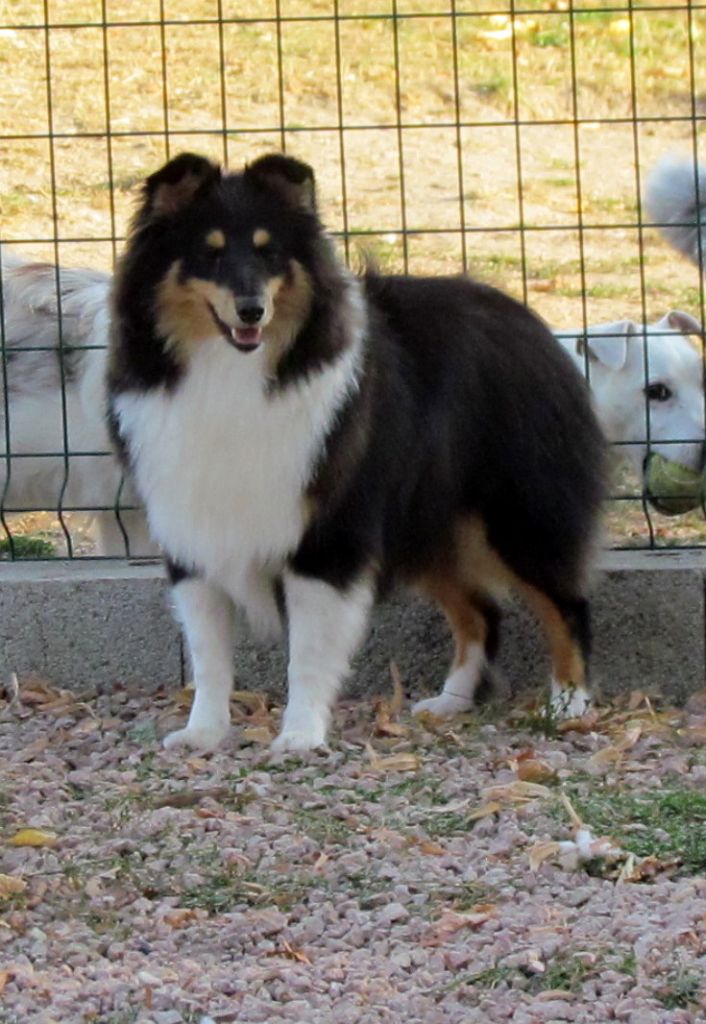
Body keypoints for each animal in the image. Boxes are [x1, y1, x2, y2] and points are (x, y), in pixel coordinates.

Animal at [108, 151, 606, 753]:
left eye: (269, 250)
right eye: (210, 252)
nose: (251, 311)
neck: (231, 374)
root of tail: (530, 318)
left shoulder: (328, 536)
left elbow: (307, 653)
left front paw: (300, 736)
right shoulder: (193, 534)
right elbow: (208, 654)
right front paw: (203, 732)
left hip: (515, 514)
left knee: (566, 603)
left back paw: (567, 703)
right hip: (425, 522)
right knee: (482, 611)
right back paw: (451, 702)